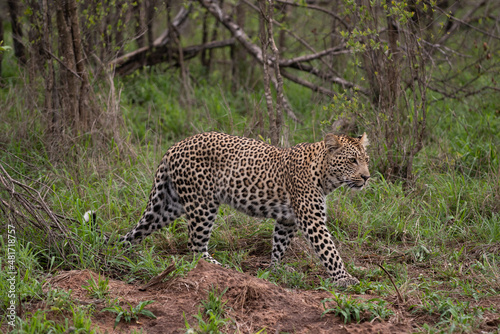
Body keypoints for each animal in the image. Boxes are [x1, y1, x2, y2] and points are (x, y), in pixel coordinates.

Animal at [114, 132, 372, 288]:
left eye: (366, 159)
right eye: (352, 161)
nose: (367, 177)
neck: (325, 175)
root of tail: (175, 145)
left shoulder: (287, 219)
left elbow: (279, 244)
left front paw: (276, 269)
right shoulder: (312, 219)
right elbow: (329, 251)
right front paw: (345, 279)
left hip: (168, 205)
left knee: (138, 231)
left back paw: (120, 252)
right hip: (203, 203)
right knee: (195, 246)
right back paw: (220, 268)